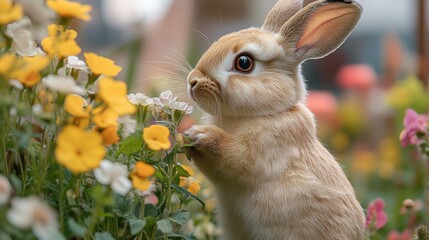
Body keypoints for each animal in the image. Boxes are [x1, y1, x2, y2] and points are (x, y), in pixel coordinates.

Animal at [185, 0, 364, 239]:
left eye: (244, 63)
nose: (192, 81)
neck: (263, 112)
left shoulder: (262, 150)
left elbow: (234, 155)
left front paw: (201, 134)